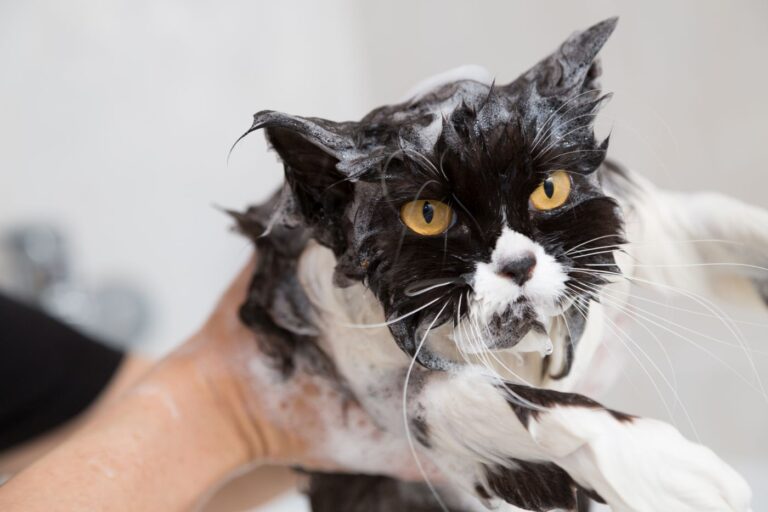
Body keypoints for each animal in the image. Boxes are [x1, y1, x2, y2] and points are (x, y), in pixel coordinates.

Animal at [232, 18, 760, 512]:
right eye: (428, 215)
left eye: (550, 189)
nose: (519, 264)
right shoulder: (375, 381)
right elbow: (500, 399)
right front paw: (667, 470)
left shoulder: (640, 220)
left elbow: (725, 224)